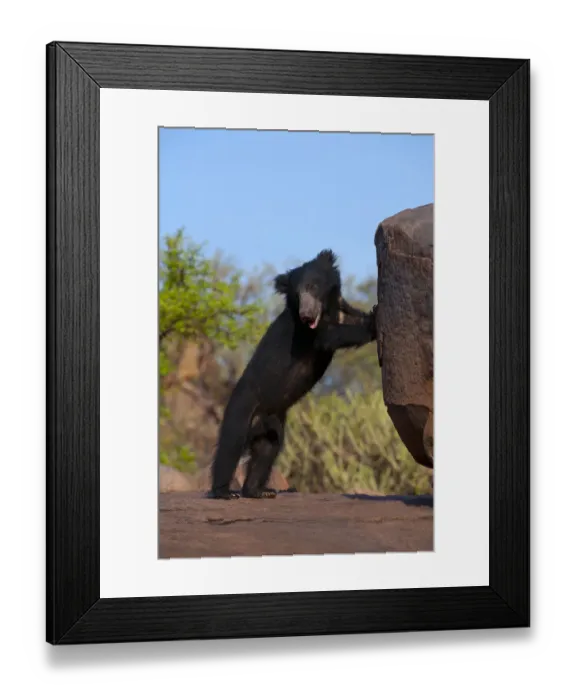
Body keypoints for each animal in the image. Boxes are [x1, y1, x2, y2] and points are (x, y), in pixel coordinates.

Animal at [208, 249, 377, 500]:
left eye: (313, 287)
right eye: (298, 294)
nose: (306, 314)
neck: (327, 311)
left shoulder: (341, 313)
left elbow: (354, 319)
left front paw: (374, 313)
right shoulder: (306, 333)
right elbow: (330, 336)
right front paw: (375, 320)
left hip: (271, 422)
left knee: (267, 450)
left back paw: (259, 491)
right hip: (242, 405)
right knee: (230, 444)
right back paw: (224, 492)